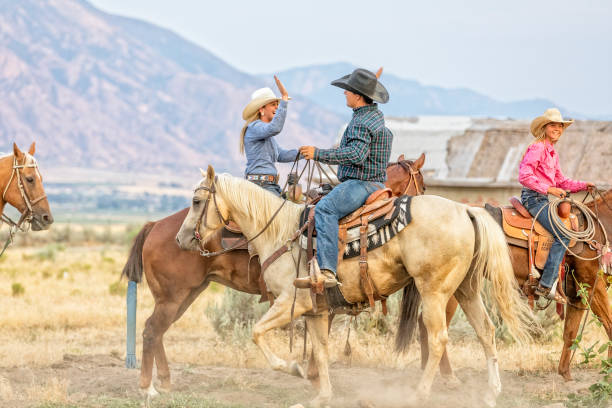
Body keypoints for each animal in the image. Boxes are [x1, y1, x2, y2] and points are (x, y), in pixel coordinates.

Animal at [120, 155, 426, 404]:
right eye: (422, 186)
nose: (183, 239)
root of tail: (156, 226)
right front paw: (310, 377)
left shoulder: (319, 305)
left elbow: (319, 346)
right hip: (173, 296)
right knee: (151, 331)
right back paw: (148, 388)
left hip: (186, 294)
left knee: (157, 331)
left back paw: (164, 382)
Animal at [175, 167, 532, 408]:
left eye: (196, 200)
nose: (181, 239)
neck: (281, 233)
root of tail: (465, 210)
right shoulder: (315, 311)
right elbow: (320, 350)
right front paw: (321, 395)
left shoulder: (290, 302)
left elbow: (257, 333)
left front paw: (293, 369)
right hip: (466, 290)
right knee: (486, 331)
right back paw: (490, 393)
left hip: (434, 291)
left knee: (439, 338)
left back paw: (419, 394)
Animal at [420, 191, 612, 382]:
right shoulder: (594, 286)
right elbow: (609, 325)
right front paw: (608, 370)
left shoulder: (578, 294)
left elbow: (570, 333)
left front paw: (565, 373)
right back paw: (448, 376)